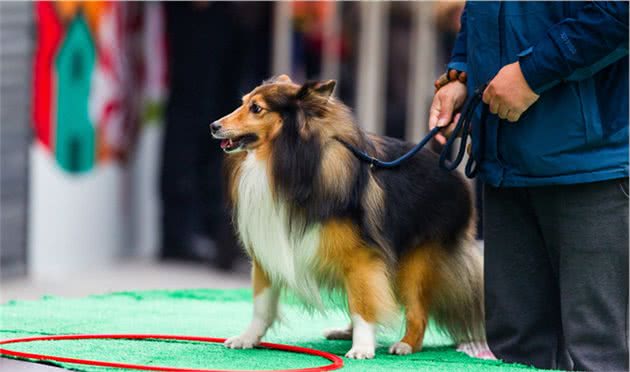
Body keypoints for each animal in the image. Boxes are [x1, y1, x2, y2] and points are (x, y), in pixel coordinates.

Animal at [210, 75, 486, 358]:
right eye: (243, 102)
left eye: (256, 108)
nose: (213, 126)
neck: (284, 162)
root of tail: (456, 177)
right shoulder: (268, 248)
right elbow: (262, 304)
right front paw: (247, 338)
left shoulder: (362, 258)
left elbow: (362, 305)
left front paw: (362, 348)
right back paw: (345, 332)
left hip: (416, 262)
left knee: (417, 312)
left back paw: (405, 344)